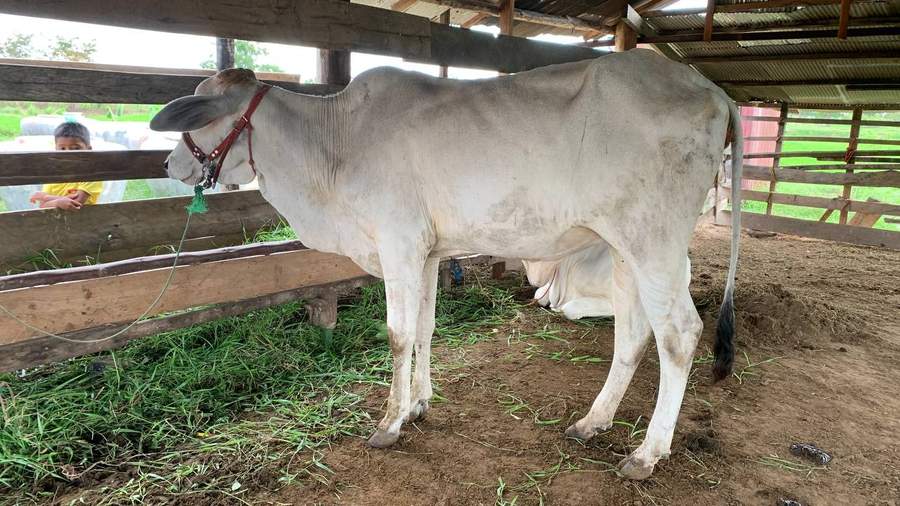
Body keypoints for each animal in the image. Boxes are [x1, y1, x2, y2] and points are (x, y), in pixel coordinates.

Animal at [150, 48, 742, 480]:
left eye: (199, 116)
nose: (169, 163)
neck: (332, 146)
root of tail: (711, 89)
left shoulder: (397, 244)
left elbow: (397, 334)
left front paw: (390, 421)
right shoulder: (428, 252)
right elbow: (425, 329)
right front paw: (418, 404)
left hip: (655, 243)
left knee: (680, 335)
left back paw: (647, 454)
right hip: (626, 250)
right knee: (633, 334)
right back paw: (592, 422)